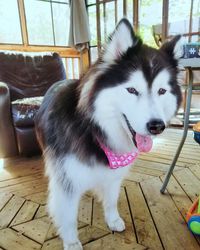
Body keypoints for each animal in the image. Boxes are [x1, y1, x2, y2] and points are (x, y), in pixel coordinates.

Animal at [35, 18, 182, 249]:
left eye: (162, 91)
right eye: (132, 90)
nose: (157, 126)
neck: (94, 130)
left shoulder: (113, 175)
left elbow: (112, 200)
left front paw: (112, 220)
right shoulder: (67, 181)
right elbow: (68, 216)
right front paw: (71, 241)